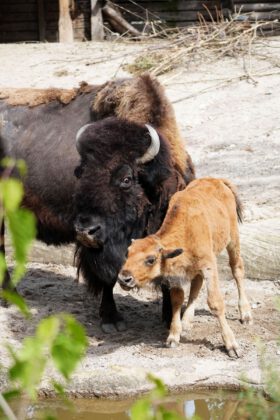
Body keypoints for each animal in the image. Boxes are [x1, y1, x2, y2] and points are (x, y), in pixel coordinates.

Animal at [0, 74, 195, 332]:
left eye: (126, 179)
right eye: (81, 173)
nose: (86, 231)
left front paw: (167, 317)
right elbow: (106, 277)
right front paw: (111, 319)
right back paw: (10, 297)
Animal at [117, 177, 253, 358]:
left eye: (151, 260)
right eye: (128, 252)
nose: (124, 278)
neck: (186, 230)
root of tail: (217, 180)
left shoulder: (209, 265)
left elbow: (215, 303)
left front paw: (232, 346)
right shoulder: (176, 276)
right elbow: (177, 299)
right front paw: (173, 337)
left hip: (233, 239)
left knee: (237, 269)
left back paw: (245, 314)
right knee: (196, 284)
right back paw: (187, 321)